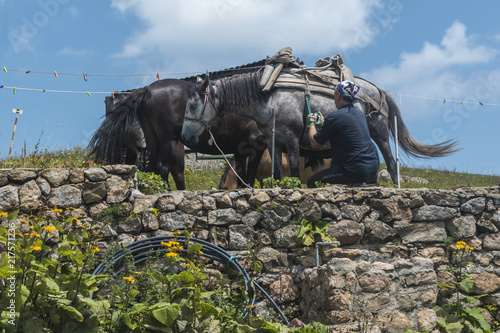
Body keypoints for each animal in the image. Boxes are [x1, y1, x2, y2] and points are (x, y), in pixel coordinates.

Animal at [90, 77, 270, 189]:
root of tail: (147, 89)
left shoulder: (240, 151)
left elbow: (241, 177)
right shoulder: (255, 145)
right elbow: (249, 176)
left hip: (153, 140)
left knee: (150, 169)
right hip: (167, 140)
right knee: (161, 168)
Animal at [182, 71, 458, 183]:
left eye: (193, 105)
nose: (185, 138)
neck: (268, 97)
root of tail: (379, 91)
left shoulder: (291, 139)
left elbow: (294, 171)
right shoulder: (274, 142)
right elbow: (277, 173)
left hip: (379, 133)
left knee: (390, 163)